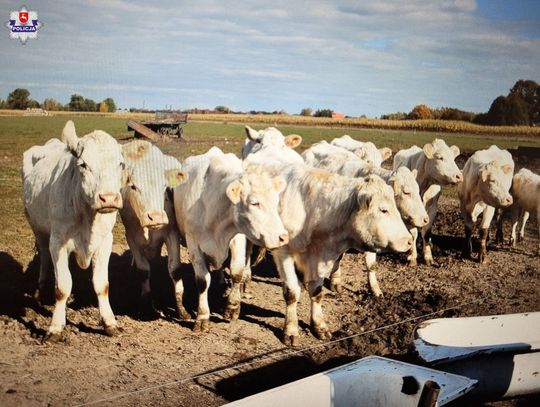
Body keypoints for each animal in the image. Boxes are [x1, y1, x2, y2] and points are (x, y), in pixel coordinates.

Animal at [22, 121, 124, 342]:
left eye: (121, 164)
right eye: (83, 165)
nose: (109, 198)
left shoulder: (105, 242)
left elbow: (102, 284)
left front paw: (110, 323)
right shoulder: (58, 242)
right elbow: (62, 287)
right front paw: (55, 328)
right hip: (38, 227)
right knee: (44, 255)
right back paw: (42, 287)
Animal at [119, 140, 189, 318]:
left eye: (164, 186)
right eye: (134, 187)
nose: (156, 217)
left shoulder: (172, 234)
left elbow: (175, 269)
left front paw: (181, 310)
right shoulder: (131, 237)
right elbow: (143, 271)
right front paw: (146, 307)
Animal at [175, 148, 288, 334]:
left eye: (276, 201)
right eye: (254, 203)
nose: (283, 237)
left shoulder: (237, 238)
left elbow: (237, 272)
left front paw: (232, 307)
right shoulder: (193, 243)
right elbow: (202, 281)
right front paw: (202, 317)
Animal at [394, 139, 462, 268]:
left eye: (453, 158)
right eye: (440, 157)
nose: (459, 176)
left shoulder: (433, 207)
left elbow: (426, 233)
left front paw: (428, 257)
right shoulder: (410, 212)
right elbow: (413, 233)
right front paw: (412, 257)